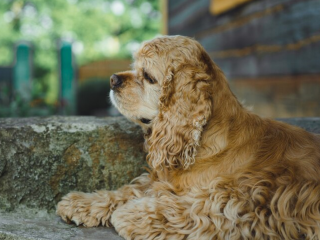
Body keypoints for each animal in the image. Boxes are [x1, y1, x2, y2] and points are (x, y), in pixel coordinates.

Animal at [56, 35, 320, 240]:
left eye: (148, 76)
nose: (112, 79)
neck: (207, 140)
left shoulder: (243, 196)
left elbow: (196, 208)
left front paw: (130, 215)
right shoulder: (163, 182)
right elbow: (129, 190)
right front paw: (82, 202)